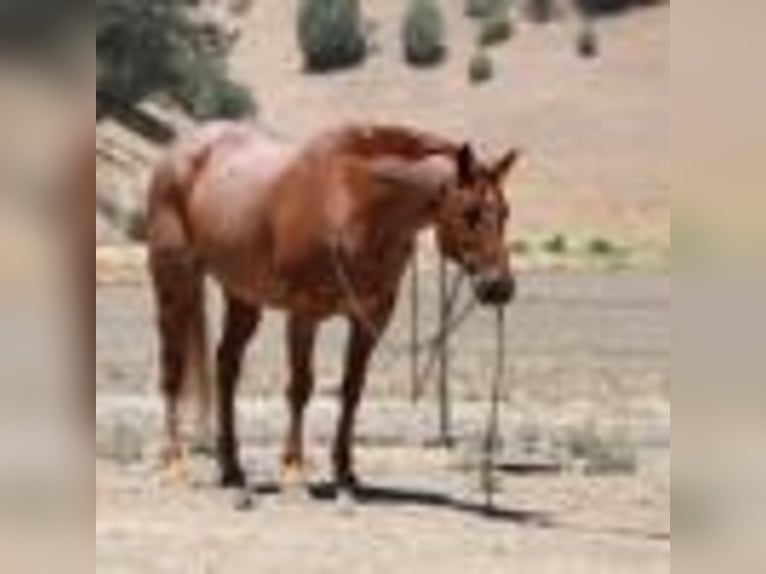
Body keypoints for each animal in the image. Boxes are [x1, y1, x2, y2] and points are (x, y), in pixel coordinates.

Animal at [147, 122, 520, 499]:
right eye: (470, 212)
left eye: (505, 213)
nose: (499, 287)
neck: (352, 205)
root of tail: (178, 152)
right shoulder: (304, 313)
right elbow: (300, 388)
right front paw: (294, 471)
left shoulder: (371, 318)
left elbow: (352, 389)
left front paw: (345, 472)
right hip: (174, 282)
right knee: (172, 370)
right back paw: (174, 465)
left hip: (243, 296)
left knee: (226, 366)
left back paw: (232, 470)